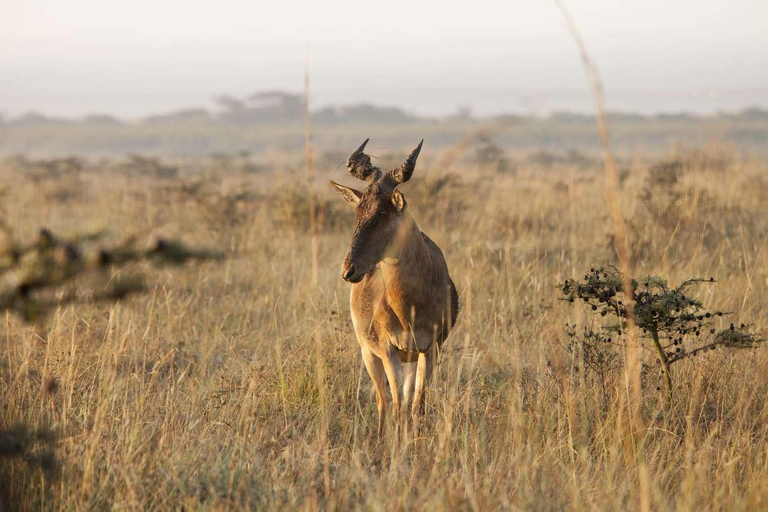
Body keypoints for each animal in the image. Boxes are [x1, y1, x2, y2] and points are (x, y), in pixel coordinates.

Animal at [328, 139, 456, 436]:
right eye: (358, 210)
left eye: (383, 211)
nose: (349, 270)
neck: (411, 305)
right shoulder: (388, 350)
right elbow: (397, 402)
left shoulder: (431, 348)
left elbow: (417, 403)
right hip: (368, 353)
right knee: (383, 399)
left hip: (410, 357)